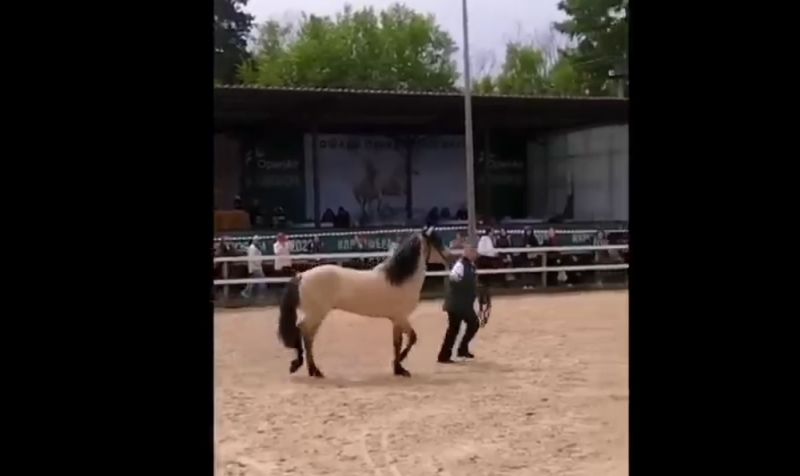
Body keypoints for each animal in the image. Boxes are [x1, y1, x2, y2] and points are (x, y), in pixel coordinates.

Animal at [276, 227, 450, 380]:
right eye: (437, 241)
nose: (450, 257)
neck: (400, 280)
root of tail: (302, 275)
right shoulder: (401, 317)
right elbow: (412, 338)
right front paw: (399, 365)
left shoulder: (396, 320)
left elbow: (397, 343)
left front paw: (398, 368)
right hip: (316, 313)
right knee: (304, 333)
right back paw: (309, 369)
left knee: (308, 336)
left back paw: (312, 370)